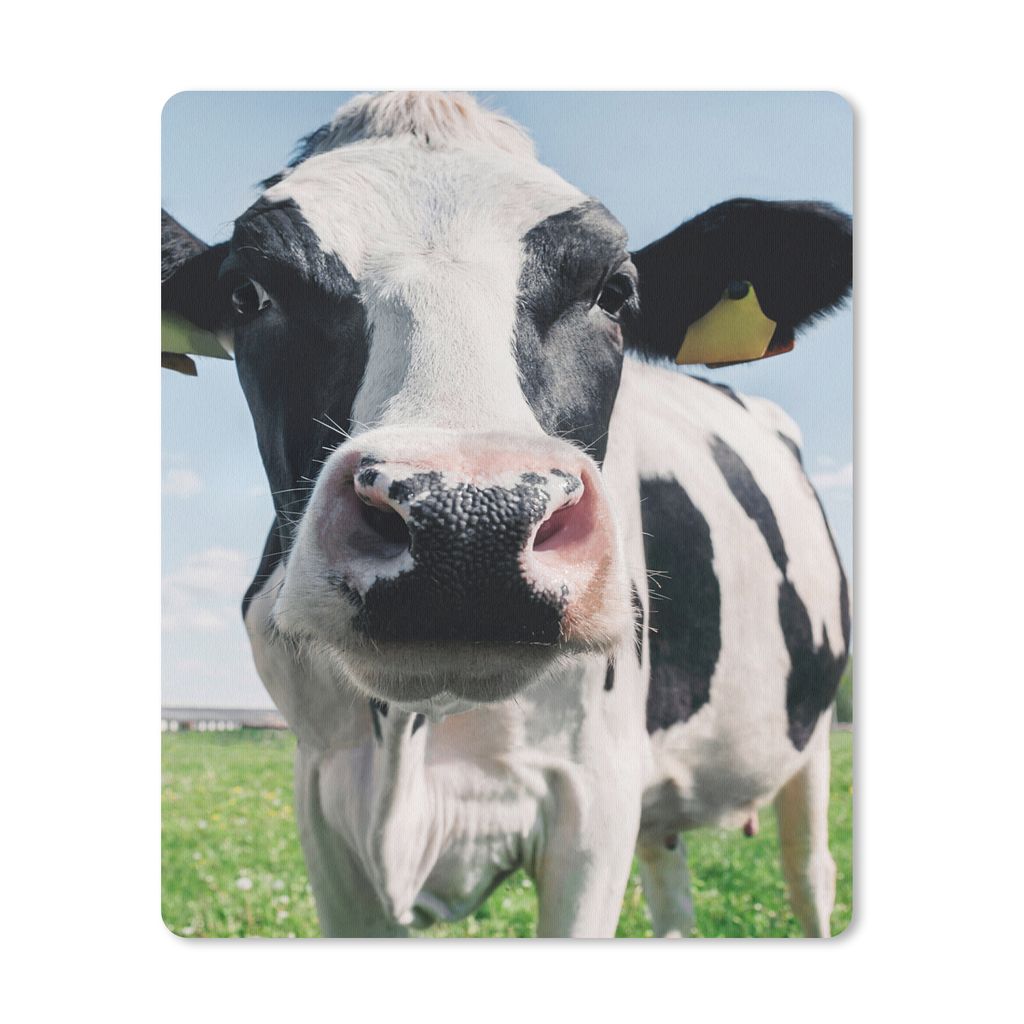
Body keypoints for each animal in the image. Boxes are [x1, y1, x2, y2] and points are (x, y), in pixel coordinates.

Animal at [161, 91, 851, 938]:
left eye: (615, 291)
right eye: (247, 292)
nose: (469, 526)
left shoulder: (594, 796)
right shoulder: (324, 800)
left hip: (808, 741)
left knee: (809, 875)